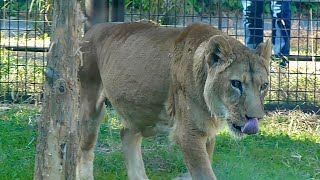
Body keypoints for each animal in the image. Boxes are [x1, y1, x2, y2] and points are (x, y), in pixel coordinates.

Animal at [77, 21, 270, 179]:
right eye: (236, 83)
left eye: (263, 86)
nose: (256, 118)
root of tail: (91, 29)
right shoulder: (189, 134)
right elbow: (204, 174)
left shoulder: (207, 133)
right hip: (91, 103)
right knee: (85, 147)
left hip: (142, 114)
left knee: (126, 134)